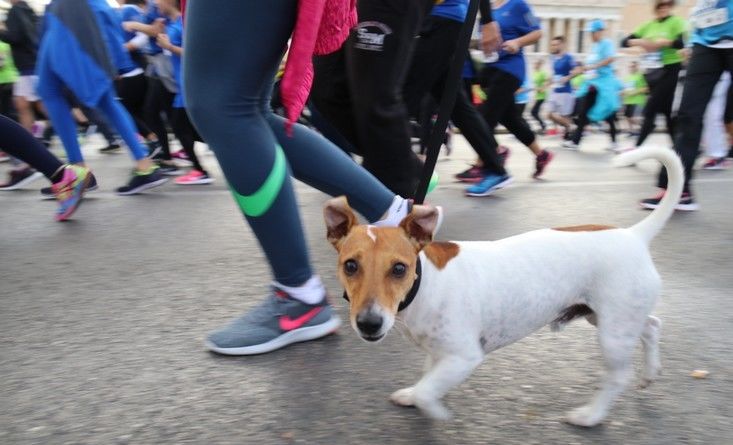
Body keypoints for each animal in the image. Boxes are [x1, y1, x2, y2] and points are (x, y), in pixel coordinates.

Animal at [324, 147, 684, 426]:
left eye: (399, 268)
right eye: (350, 265)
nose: (369, 323)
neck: (424, 285)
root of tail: (635, 235)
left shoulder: (463, 357)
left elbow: (429, 390)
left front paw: (435, 411)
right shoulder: (440, 354)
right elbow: (426, 380)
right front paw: (413, 394)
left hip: (613, 333)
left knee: (618, 375)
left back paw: (590, 415)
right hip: (608, 316)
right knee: (652, 325)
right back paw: (651, 371)